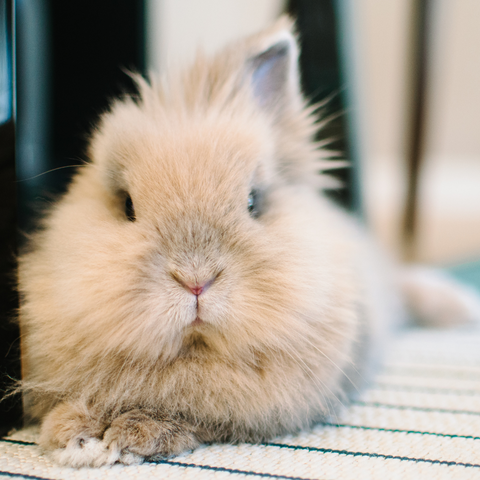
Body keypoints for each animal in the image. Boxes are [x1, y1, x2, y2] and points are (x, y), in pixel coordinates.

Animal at [17, 15, 480, 468]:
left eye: (254, 202)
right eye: (127, 205)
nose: (196, 281)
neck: (194, 352)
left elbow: (194, 418)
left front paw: (123, 436)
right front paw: (71, 433)